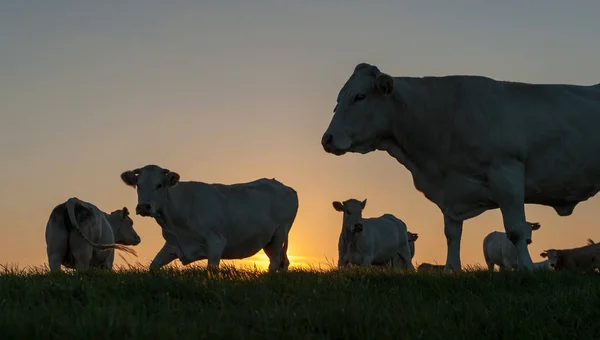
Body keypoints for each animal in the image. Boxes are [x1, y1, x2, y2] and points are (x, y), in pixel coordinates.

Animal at [120, 163, 298, 272]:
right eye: (138, 185)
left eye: (159, 185)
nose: (144, 206)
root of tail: (282, 186)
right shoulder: (172, 244)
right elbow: (153, 266)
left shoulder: (216, 242)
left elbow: (211, 271)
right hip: (270, 240)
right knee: (282, 262)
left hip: (278, 234)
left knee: (274, 263)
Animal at [322, 62, 600, 270]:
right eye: (338, 99)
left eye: (359, 96)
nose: (327, 138)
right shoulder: (451, 190)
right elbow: (452, 233)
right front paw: (451, 269)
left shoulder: (507, 173)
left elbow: (516, 229)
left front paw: (527, 268)